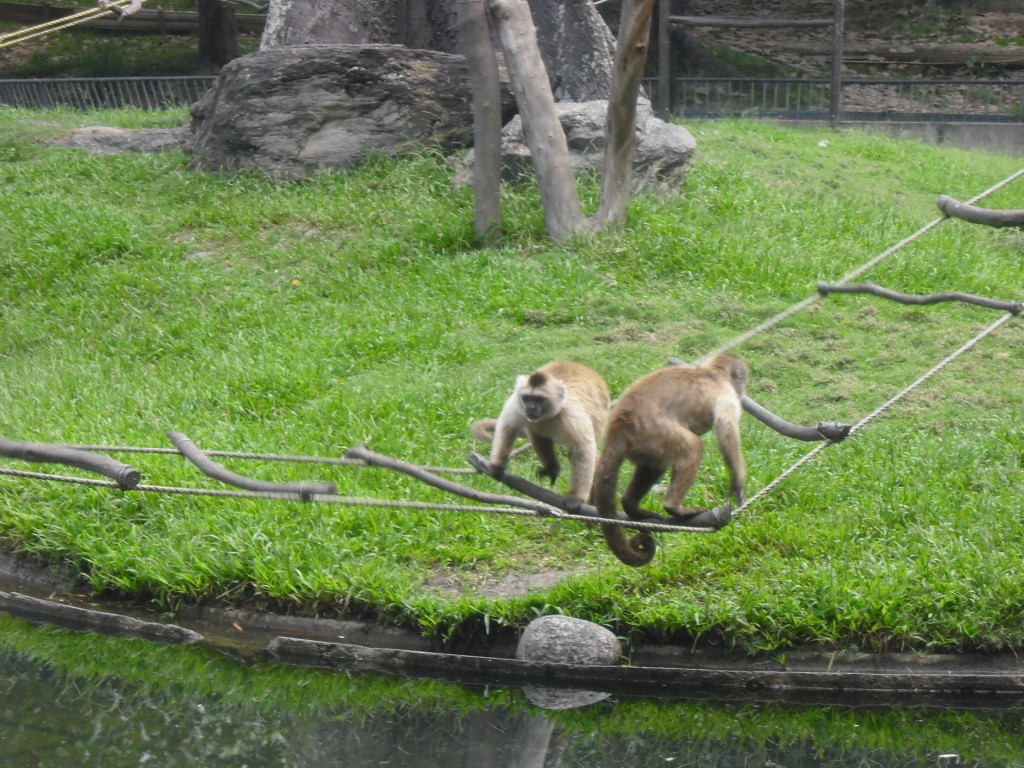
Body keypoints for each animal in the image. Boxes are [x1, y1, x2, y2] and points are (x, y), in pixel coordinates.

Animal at [471, 362, 606, 518]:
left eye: (539, 399)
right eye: (526, 398)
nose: (530, 408)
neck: (548, 416)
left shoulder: (571, 414)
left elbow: (584, 450)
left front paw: (576, 497)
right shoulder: (517, 403)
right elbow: (507, 426)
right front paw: (498, 465)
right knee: (537, 434)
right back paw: (552, 469)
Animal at [593, 354, 753, 565]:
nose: (742, 391)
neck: (712, 373)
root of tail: (618, 427)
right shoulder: (725, 392)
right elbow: (725, 428)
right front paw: (738, 483)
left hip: (645, 444)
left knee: (654, 466)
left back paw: (631, 506)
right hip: (652, 432)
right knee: (693, 447)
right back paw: (674, 508)